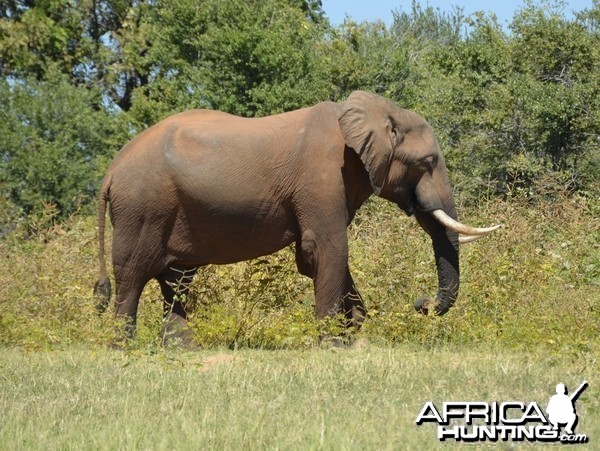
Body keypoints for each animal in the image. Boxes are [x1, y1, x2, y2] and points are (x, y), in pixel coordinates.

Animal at [92, 91, 496, 340]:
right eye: (427, 162)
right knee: (132, 277)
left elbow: (315, 256)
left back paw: (183, 351)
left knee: (175, 280)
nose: (420, 304)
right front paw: (332, 345)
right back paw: (123, 349)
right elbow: (328, 250)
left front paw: (352, 336)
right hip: (141, 207)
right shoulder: (322, 177)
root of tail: (110, 171)